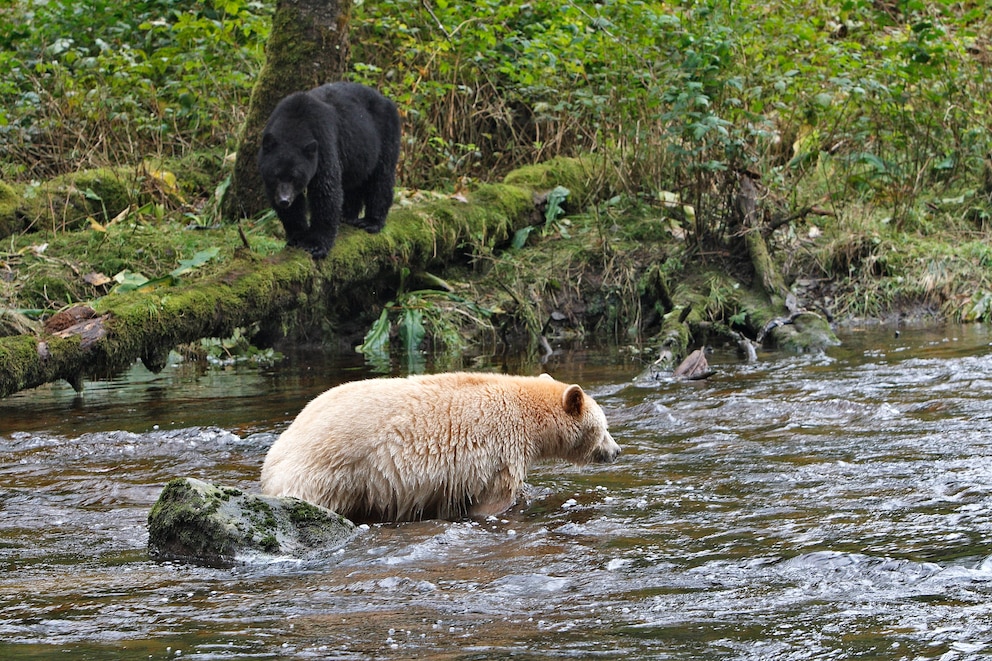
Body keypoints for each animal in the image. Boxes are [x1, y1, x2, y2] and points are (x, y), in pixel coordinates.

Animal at [258, 81, 402, 260]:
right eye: (276, 175)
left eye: (295, 177)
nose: (284, 200)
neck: (294, 122)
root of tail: (386, 100)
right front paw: (297, 236)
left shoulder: (323, 144)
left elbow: (325, 191)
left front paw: (316, 245)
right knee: (353, 184)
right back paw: (346, 216)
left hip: (386, 136)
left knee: (381, 178)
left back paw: (371, 221)